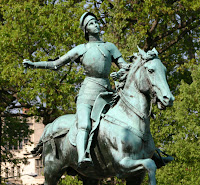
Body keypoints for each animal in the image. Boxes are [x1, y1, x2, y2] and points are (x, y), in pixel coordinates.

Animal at [33, 47, 174, 184]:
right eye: (150, 70)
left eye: (165, 70)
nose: (168, 98)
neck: (129, 118)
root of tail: (49, 127)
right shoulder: (123, 164)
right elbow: (150, 164)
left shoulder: (136, 175)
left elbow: (150, 165)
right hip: (52, 171)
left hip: (89, 176)